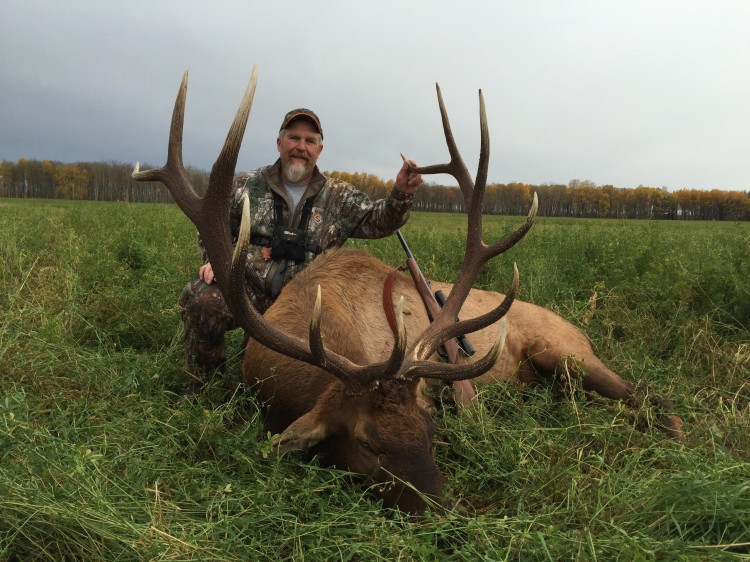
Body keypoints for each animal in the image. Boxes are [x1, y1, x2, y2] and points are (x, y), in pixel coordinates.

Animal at [133, 66, 684, 514]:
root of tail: (580, 330)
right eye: (367, 444)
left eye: (429, 430)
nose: (447, 512)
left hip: (567, 352)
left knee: (646, 395)